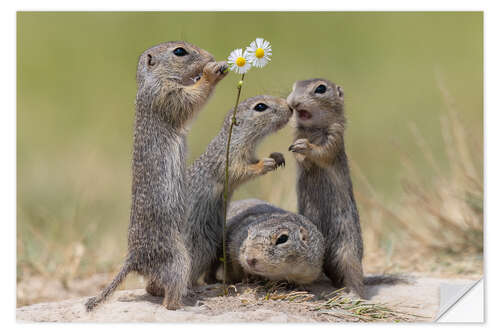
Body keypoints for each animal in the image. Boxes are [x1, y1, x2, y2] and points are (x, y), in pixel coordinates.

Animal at [84, 40, 229, 308]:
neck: (153, 80)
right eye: (180, 51)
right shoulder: (167, 96)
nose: (211, 56)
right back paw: (185, 303)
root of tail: (134, 258)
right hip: (178, 257)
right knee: (169, 294)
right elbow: (191, 99)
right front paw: (212, 72)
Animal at [288, 78, 366, 296]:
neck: (312, 129)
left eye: (321, 89)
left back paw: (352, 295)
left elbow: (322, 151)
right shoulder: (297, 132)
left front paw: (305, 147)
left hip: (347, 250)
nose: (293, 102)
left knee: (354, 275)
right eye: (293, 87)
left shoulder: (334, 137)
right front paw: (298, 153)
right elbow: (299, 159)